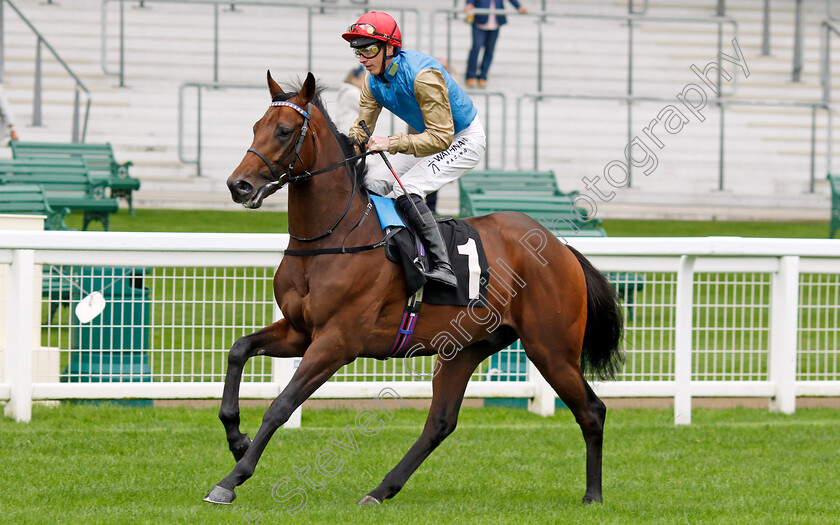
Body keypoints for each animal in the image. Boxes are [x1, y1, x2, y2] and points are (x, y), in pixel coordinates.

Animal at [203, 71, 624, 506]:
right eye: (257, 126)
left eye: (285, 131)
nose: (238, 185)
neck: (332, 235)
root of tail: (560, 247)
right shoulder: (300, 331)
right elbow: (239, 350)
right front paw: (236, 438)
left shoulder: (336, 342)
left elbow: (281, 405)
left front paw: (232, 478)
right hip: (467, 348)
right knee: (440, 422)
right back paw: (381, 489)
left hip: (551, 348)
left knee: (592, 410)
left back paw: (593, 495)